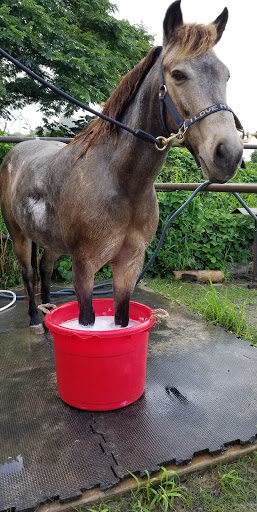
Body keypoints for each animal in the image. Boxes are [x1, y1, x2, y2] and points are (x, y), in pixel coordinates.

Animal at [0, 0, 242, 334]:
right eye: (178, 74)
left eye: (226, 75)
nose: (228, 153)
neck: (121, 183)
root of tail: (17, 152)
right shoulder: (85, 267)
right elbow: (86, 318)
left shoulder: (129, 265)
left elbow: (122, 316)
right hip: (19, 236)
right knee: (28, 274)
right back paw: (37, 320)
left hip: (51, 242)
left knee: (45, 270)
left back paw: (49, 316)